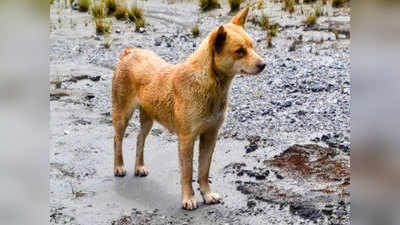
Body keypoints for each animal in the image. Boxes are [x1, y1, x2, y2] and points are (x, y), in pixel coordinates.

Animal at [111, 7, 264, 211]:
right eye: (240, 51)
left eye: (252, 46)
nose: (263, 64)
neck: (209, 84)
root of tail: (129, 52)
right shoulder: (186, 138)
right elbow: (187, 172)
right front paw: (189, 199)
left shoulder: (210, 135)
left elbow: (203, 170)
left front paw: (207, 194)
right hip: (122, 114)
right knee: (117, 140)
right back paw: (119, 167)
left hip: (148, 118)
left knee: (139, 139)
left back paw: (139, 167)